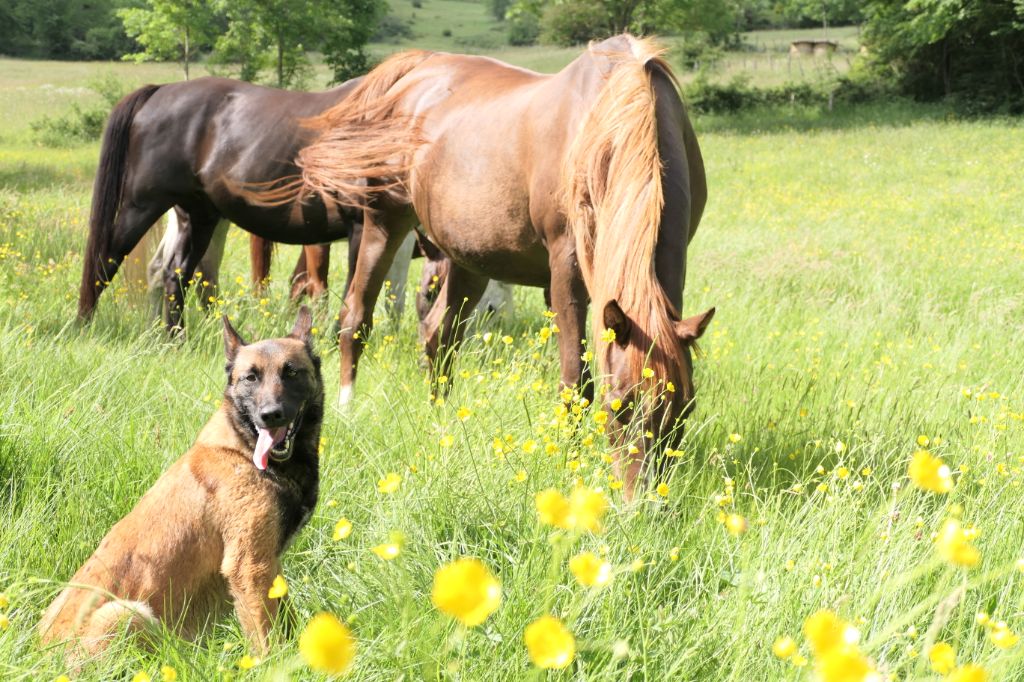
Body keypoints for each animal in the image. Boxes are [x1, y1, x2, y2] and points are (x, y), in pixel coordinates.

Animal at [40, 305, 323, 655]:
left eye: (291, 372)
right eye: (251, 377)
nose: (271, 415)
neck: (242, 449)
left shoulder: (267, 563)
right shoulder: (251, 565)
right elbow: (268, 637)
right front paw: (279, 663)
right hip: (125, 613)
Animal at [268, 35, 716, 493]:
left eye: (686, 407)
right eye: (619, 406)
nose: (644, 499)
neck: (609, 122)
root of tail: (419, 70)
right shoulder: (566, 272)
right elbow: (576, 382)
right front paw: (570, 461)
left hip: (467, 258)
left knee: (438, 335)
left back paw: (441, 421)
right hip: (383, 224)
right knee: (355, 320)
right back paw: (347, 407)